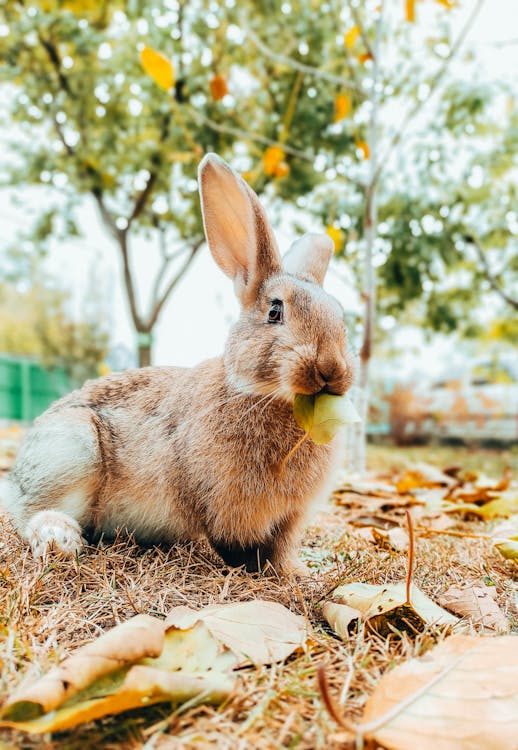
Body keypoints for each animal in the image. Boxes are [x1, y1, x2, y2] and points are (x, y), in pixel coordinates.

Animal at [0, 154, 356, 576]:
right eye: (275, 311)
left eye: (341, 318)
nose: (331, 369)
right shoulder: (225, 508)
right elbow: (237, 548)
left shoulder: (289, 519)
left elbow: (280, 549)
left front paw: (294, 574)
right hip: (72, 449)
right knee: (32, 513)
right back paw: (61, 540)